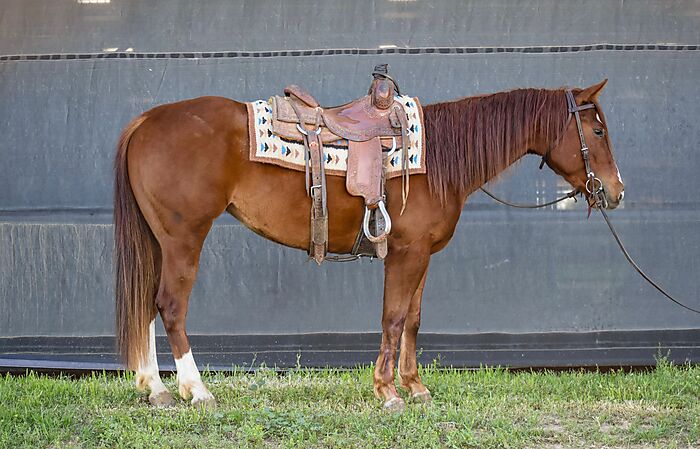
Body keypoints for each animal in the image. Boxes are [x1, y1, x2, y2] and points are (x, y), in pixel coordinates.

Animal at [114, 79, 624, 410]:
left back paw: (155, 389)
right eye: (597, 131)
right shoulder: (405, 253)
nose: (616, 192)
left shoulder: (422, 256)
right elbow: (393, 318)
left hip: (157, 242)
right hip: (184, 239)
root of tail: (146, 119)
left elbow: (413, 320)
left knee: (145, 305)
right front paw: (388, 391)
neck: (435, 158)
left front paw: (416, 388)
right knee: (170, 305)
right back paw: (195, 390)